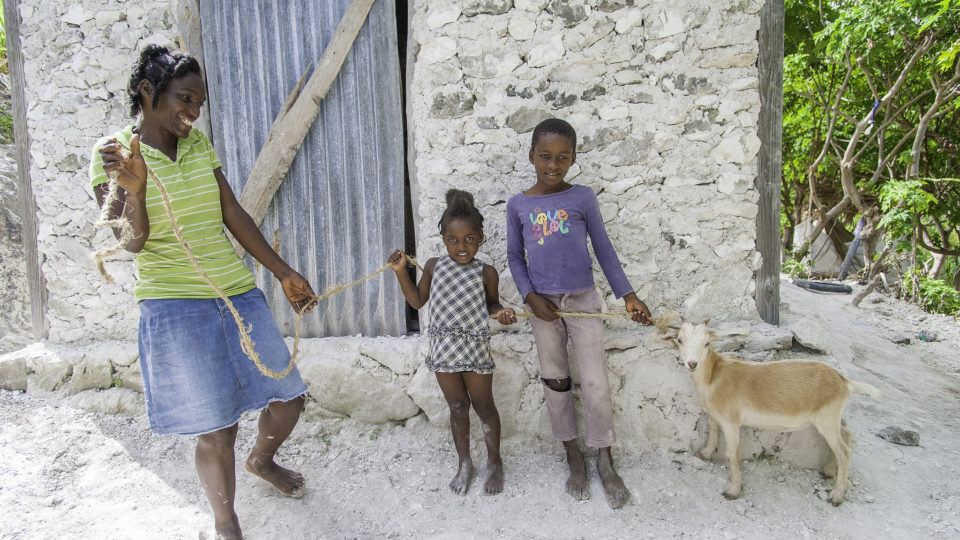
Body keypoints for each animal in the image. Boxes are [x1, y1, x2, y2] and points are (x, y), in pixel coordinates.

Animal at [672, 320, 880, 506]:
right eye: (680, 340)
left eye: (706, 343)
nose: (692, 364)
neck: (713, 376)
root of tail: (844, 382)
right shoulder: (715, 415)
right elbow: (713, 430)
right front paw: (706, 453)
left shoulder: (731, 422)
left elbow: (732, 453)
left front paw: (733, 491)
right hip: (831, 416)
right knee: (846, 434)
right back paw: (829, 470)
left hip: (827, 418)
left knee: (844, 451)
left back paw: (836, 496)